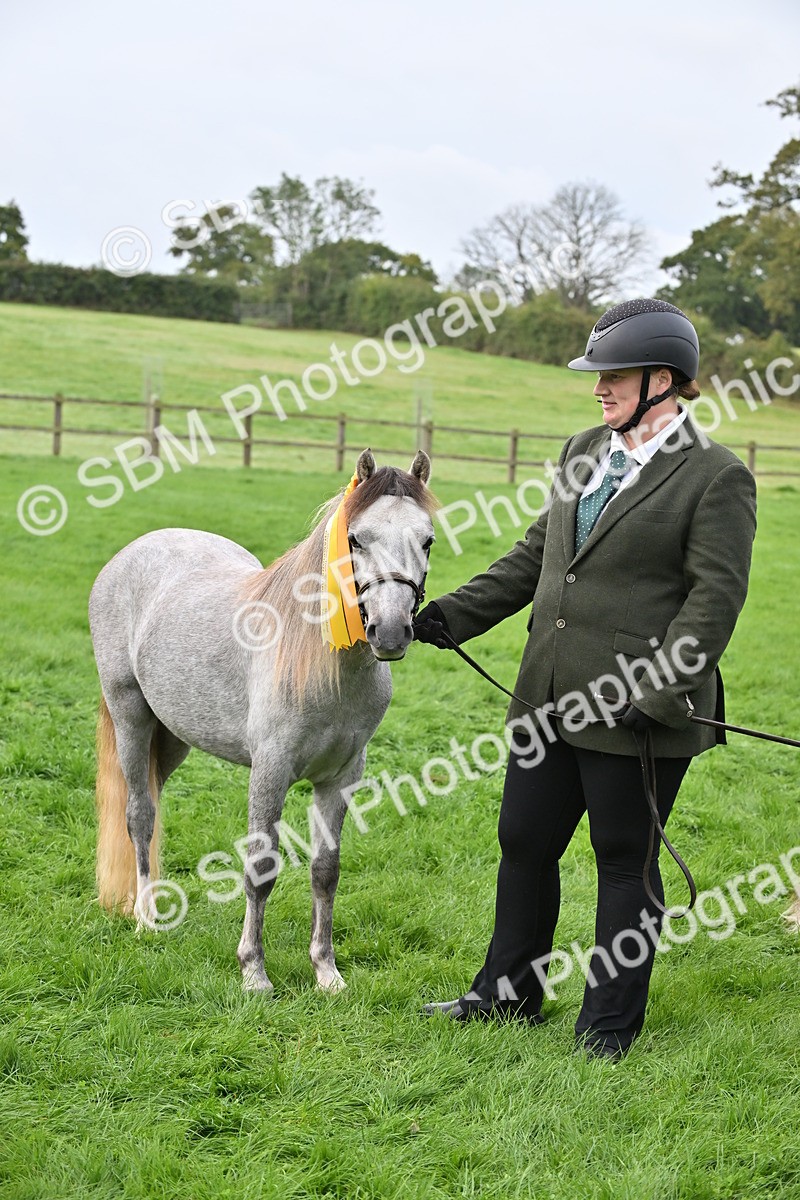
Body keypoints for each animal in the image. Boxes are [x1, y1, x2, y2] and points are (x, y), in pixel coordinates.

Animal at [90, 448, 437, 992]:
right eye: (357, 538)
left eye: (426, 540)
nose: (391, 631)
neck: (325, 667)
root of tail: (130, 554)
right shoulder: (269, 771)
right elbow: (260, 866)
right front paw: (253, 972)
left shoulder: (341, 778)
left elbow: (325, 869)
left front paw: (326, 972)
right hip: (130, 717)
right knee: (139, 814)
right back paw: (146, 917)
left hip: (173, 737)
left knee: (153, 801)